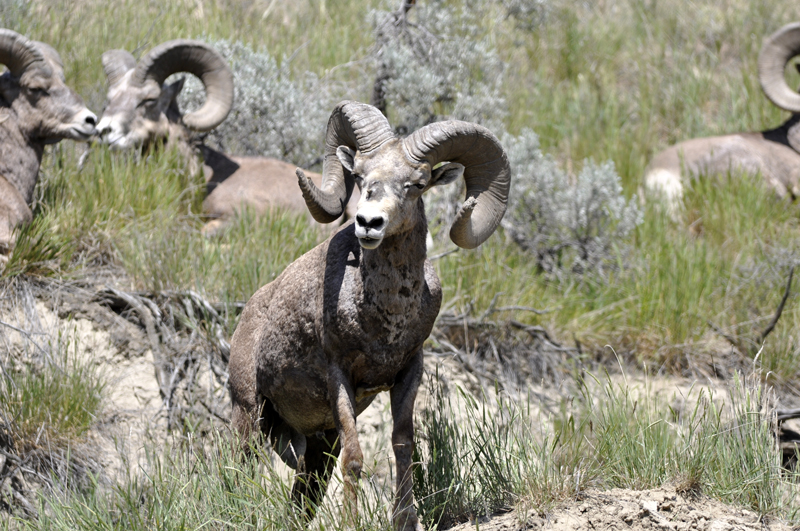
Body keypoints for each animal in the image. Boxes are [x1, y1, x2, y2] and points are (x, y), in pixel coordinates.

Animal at [228, 102, 510, 528]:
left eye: (417, 183)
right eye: (360, 176)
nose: (368, 223)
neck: (386, 319)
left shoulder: (408, 372)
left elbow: (403, 445)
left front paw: (405, 520)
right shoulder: (340, 377)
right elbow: (356, 459)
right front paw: (351, 522)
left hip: (315, 442)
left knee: (304, 494)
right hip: (250, 413)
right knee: (239, 471)